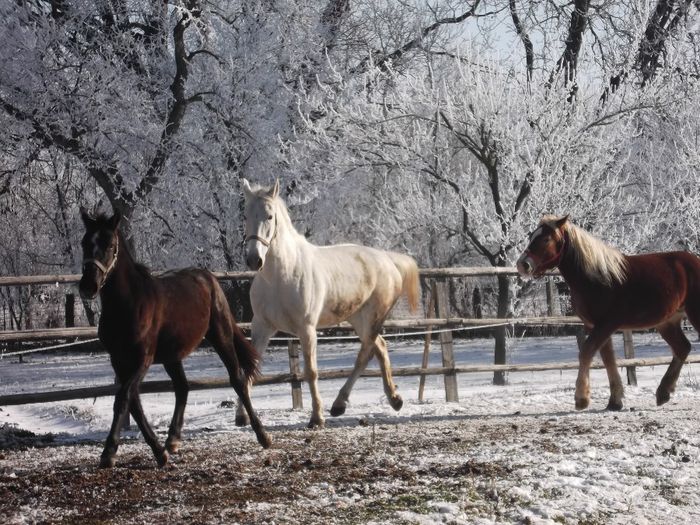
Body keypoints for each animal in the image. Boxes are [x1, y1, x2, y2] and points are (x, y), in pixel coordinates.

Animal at [78, 210, 270, 466]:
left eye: (109, 244)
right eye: (84, 243)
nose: (88, 286)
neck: (129, 305)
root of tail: (208, 277)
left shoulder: (143, 359)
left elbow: (123, 398)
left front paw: (109, 452)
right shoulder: (118, 360)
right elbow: (133, 403)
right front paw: (159, 452)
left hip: (220, 336)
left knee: (238, 380)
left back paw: (263, 435)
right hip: (172, 355)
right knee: (182, 387)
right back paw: (172, 440)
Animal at [516, 215, 700, 412]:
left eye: (546, 239)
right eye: (531, 236)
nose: (522, 265)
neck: (597, 278)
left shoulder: (606, 325)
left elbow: (587, 352)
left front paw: (581, 399)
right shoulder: (595, 326)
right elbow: (608, 359)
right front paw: (615, 401)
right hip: (667, 322)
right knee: (682, 348)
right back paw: (663, 393)